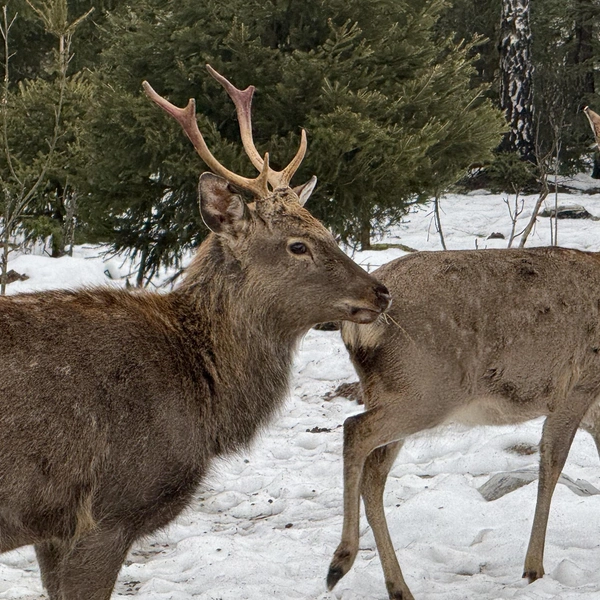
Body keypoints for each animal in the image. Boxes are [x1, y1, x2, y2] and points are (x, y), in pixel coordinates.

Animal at [328, 246, 600, 596]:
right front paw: (533, 568)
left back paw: (398, 586)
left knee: (374, 473)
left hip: (389, 391)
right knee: (355, 429)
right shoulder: (577, 389)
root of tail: (357, 328)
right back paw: (341, 561)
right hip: (427, 391)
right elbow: (552, 463)